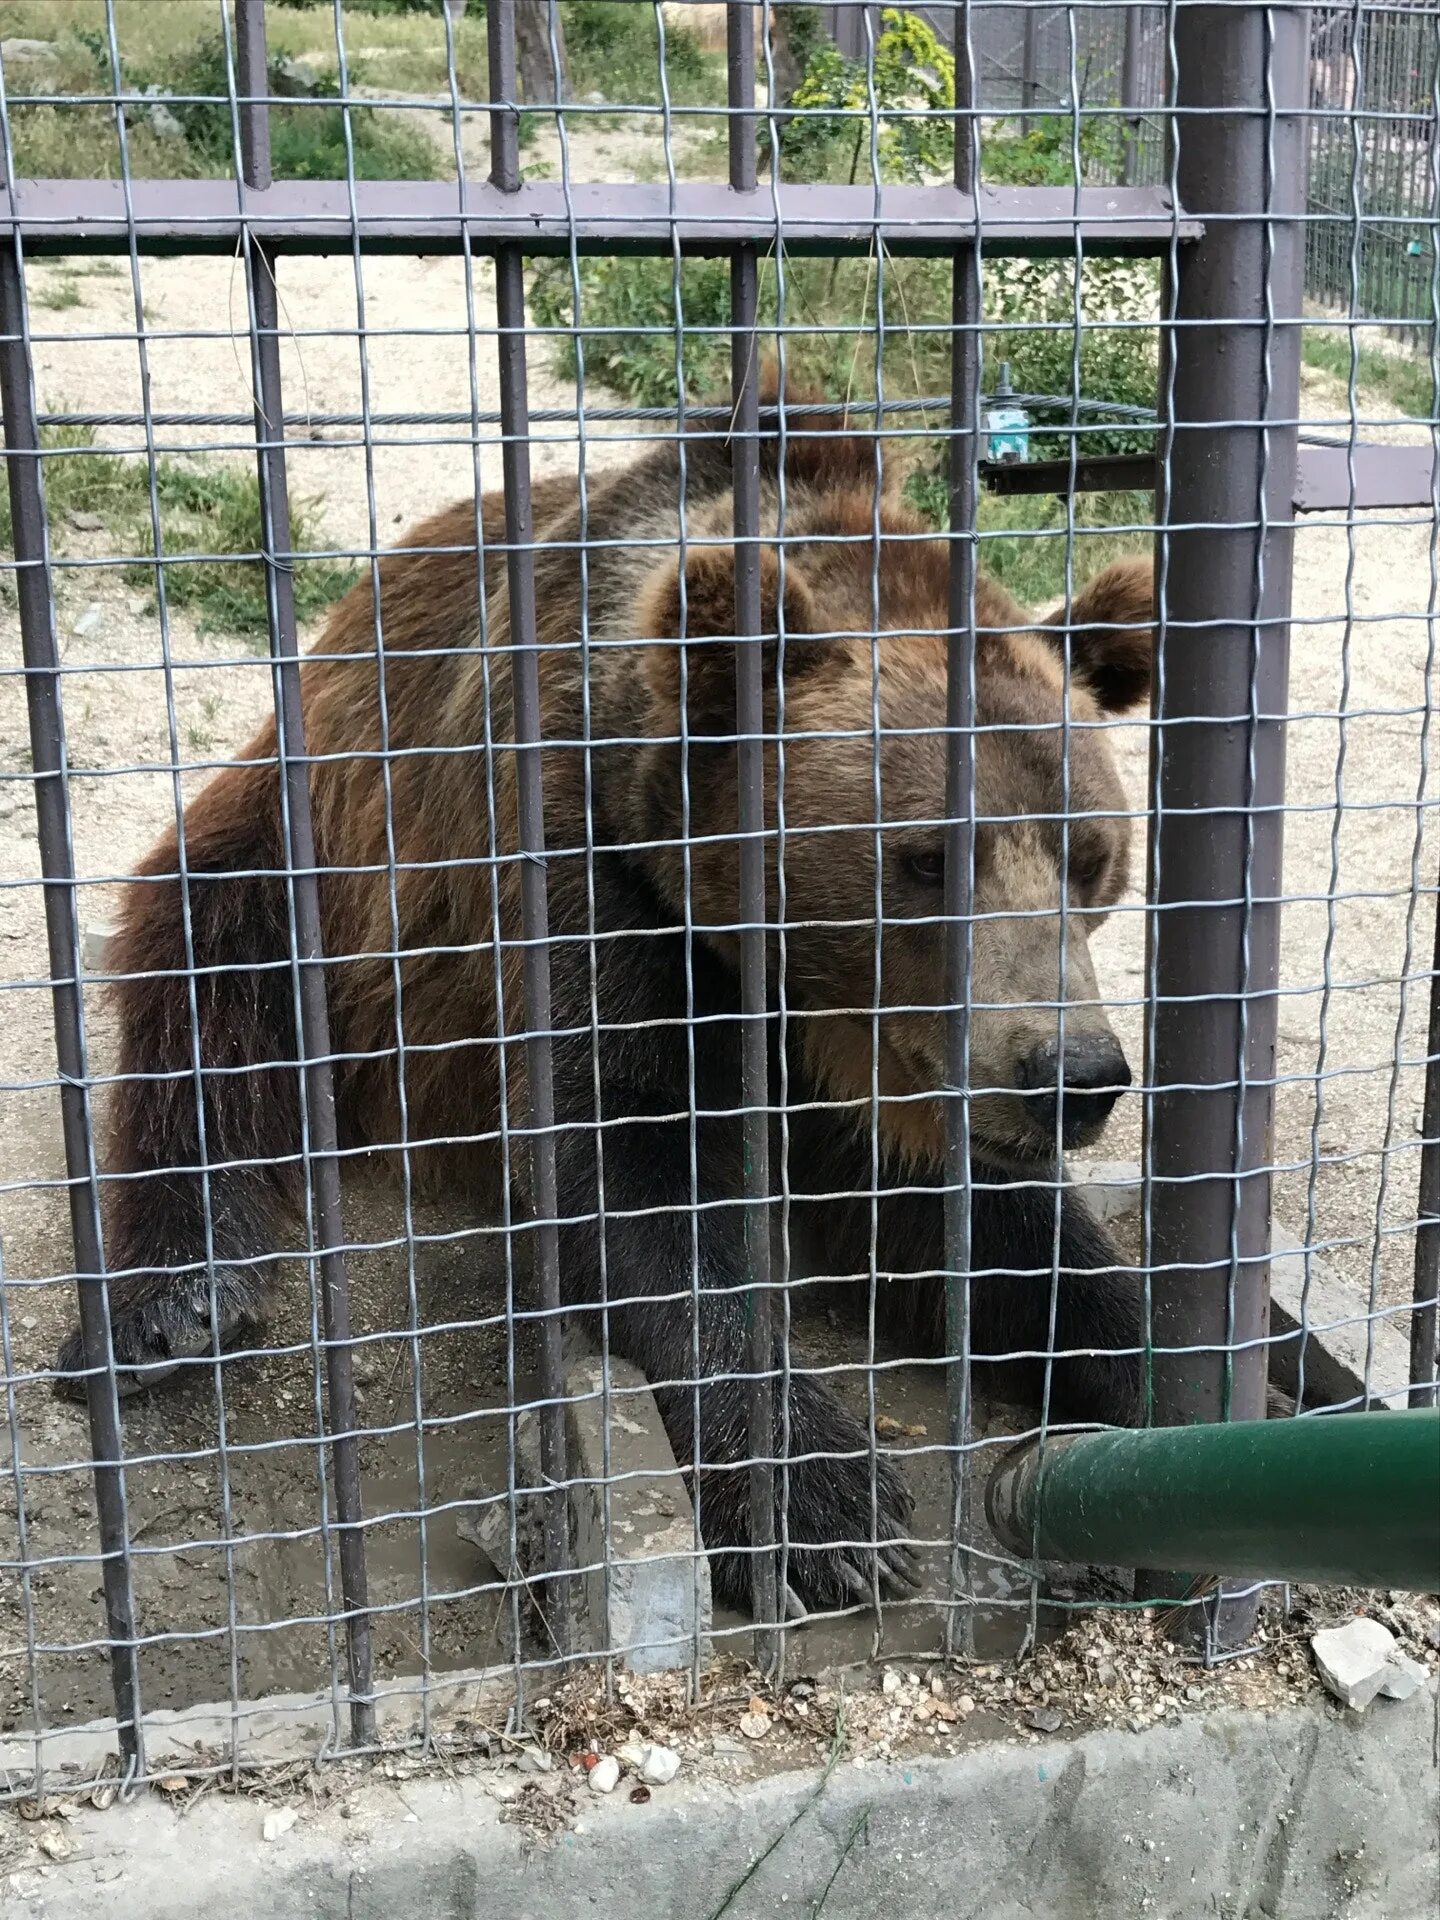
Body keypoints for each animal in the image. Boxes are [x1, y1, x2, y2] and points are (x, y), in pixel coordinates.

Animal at [59, 397, 1159, 1612]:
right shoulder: (579, 873)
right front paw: (824, 1508)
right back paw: (176, 1304)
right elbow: (627, 1177)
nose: (1074, 1077)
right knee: (211, 984)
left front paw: (1163, 1375)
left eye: (1092, 856)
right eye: (925, 858)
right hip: (317, 854)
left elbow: (999, 1226)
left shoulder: (891, 1057)